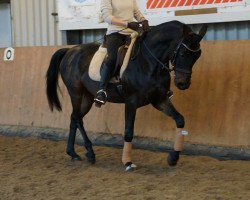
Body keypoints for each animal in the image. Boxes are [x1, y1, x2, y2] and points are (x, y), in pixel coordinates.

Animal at [46, 20, 206, 170]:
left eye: (197, 56)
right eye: (183, 53)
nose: (183, 84)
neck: (147, 62)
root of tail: (70, 51)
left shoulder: (159, 100)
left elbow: (180, 120)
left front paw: (173, 157)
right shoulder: (131, 102)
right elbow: (128, 131)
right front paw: (127, 162)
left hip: (87, 97)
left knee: (74, 117)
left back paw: (73, 153)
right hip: (76, 93)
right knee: (78, 118)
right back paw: (89, 152)